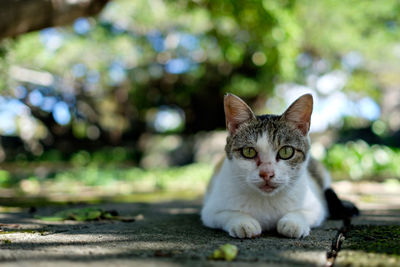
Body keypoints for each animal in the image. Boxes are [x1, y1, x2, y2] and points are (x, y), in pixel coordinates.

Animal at [202, 93, 358, 239]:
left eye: (286, 151)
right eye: (249, 151)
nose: (267, 173)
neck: (267, 200)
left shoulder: (316, 206)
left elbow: (305, 212)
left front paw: (293, 222)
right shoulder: (210, 211)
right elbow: (226, 213)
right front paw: (243, 222)